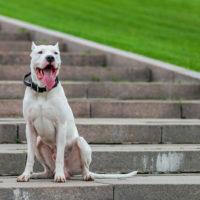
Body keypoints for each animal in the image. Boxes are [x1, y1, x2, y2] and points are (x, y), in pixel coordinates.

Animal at [16, 42, 138, 183]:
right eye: (40, 52)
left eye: (55, 53)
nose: (50, 58)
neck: (43, 91)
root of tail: (68, 171)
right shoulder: (30, 128)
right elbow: (30, 157)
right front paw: (25, 175)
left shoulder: (61, 126)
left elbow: (59, 157)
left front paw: (59, 177)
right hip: (39, 142)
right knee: (48, 170)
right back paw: (38, 174)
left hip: (81, 143)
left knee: (84, 166)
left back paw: (84, 175)